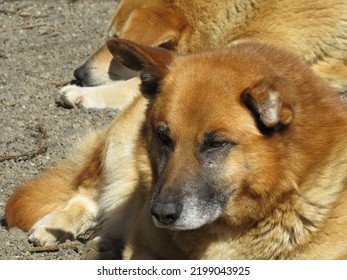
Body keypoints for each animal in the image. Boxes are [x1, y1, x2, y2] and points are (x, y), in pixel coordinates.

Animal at [4, 38, 347, 260]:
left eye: (217, 143)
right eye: (164, 137)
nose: (160, 214)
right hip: (118, 153)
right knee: (88, 194)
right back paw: (57, 226)